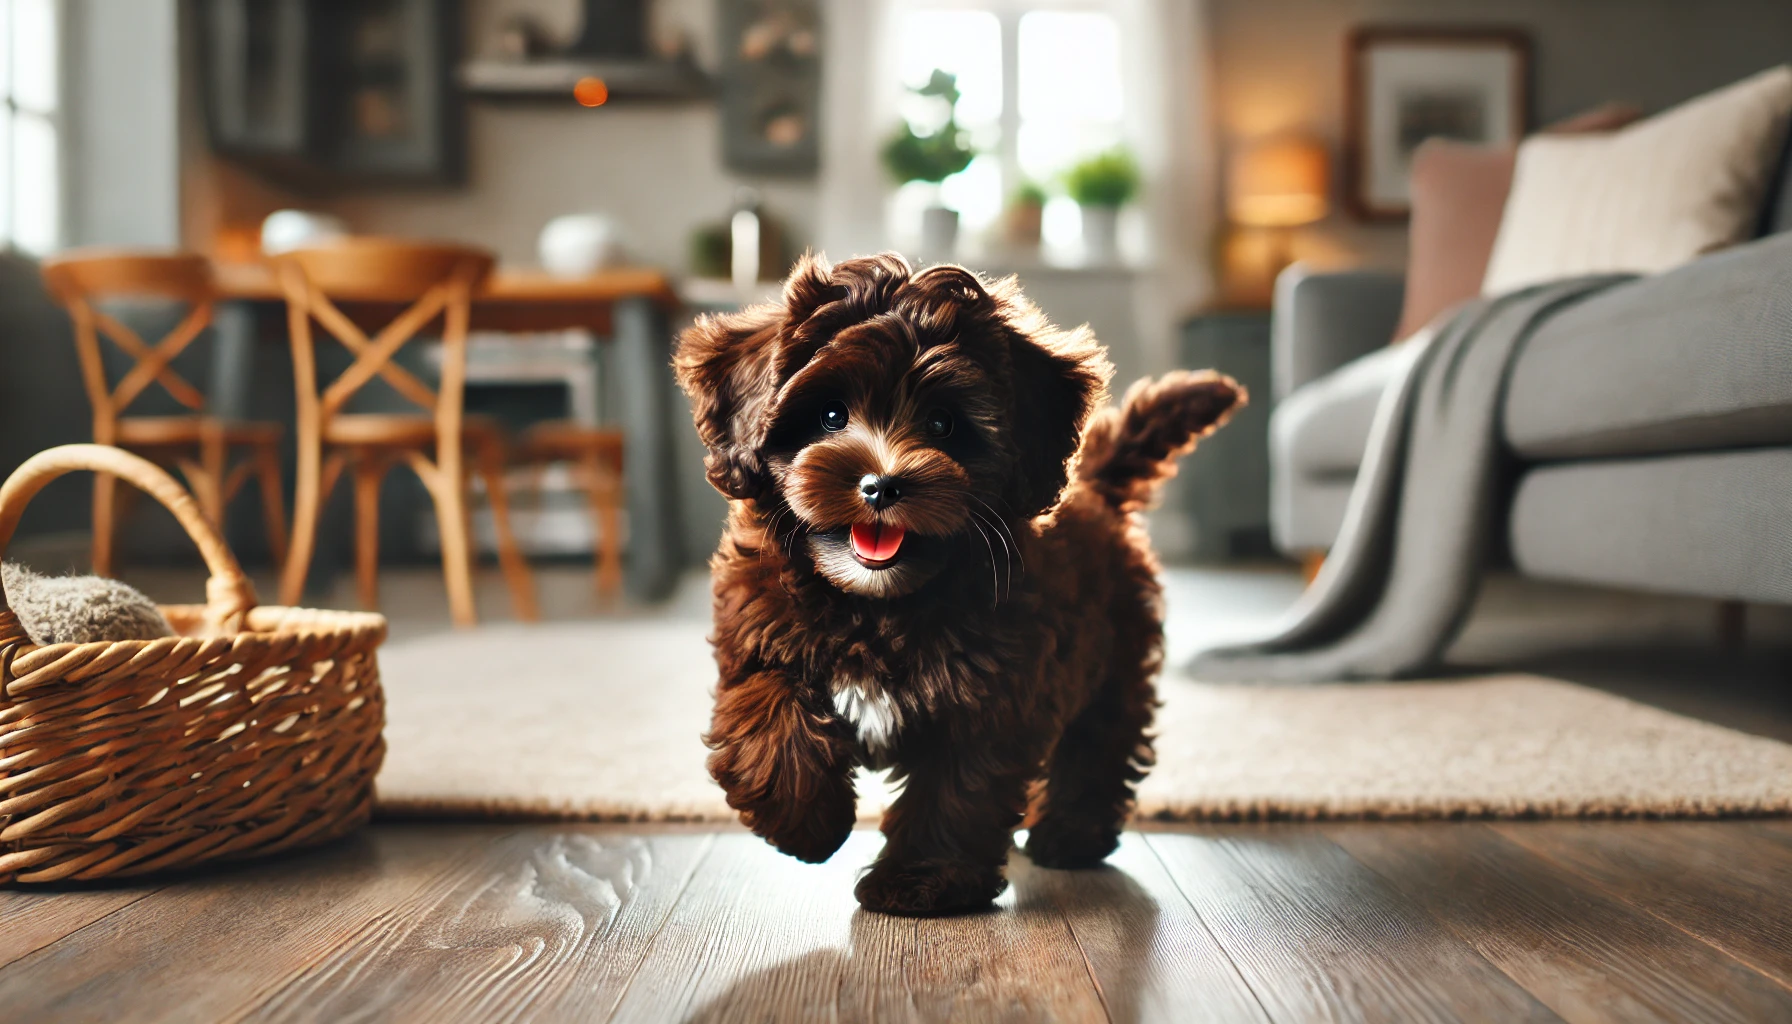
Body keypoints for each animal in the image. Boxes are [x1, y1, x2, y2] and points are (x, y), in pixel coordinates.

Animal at [673, 252, 1247, 918]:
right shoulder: (761, 631)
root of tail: (1094, 488)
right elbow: (768, 713)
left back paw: (1070, 835)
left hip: (1115, 661)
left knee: (1098, 745)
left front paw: (921, 881)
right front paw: (804, 824)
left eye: (943, 423)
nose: (881, 485)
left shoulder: (990, 692)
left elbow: (957, 788)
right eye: (831, 415)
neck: (878, 605)